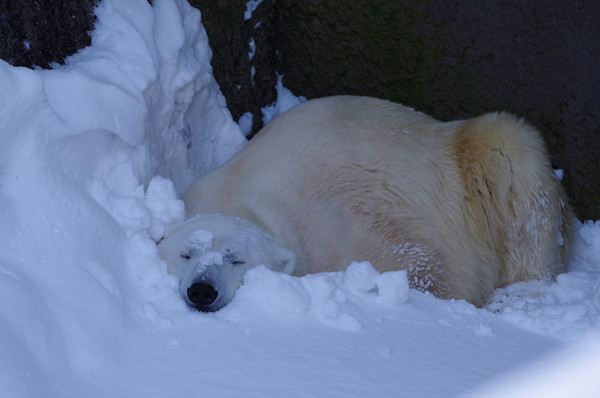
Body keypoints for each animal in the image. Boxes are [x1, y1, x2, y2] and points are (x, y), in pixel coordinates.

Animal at [157, 95, 576, 310]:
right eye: (186, 254)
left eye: (237, 259)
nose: (203, 290)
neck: (238, 194)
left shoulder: (334, 222)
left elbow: (424, 265)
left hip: (477, 159)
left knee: (512, 155)